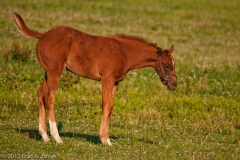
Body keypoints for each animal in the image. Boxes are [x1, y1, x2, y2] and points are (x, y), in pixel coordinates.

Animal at [10, 11, 177, 146]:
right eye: (167, 66)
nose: (174, 85)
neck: (123, 52)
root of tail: (43, 35)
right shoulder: (107, 79)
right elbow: (105, 105)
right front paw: (104, 140)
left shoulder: (115, 82)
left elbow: (111, 106)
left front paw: (107, 138)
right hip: (55, 72)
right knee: (49, 97)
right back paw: (57, 138)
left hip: (47, 72)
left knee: (40, 93)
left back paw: (44, 136)